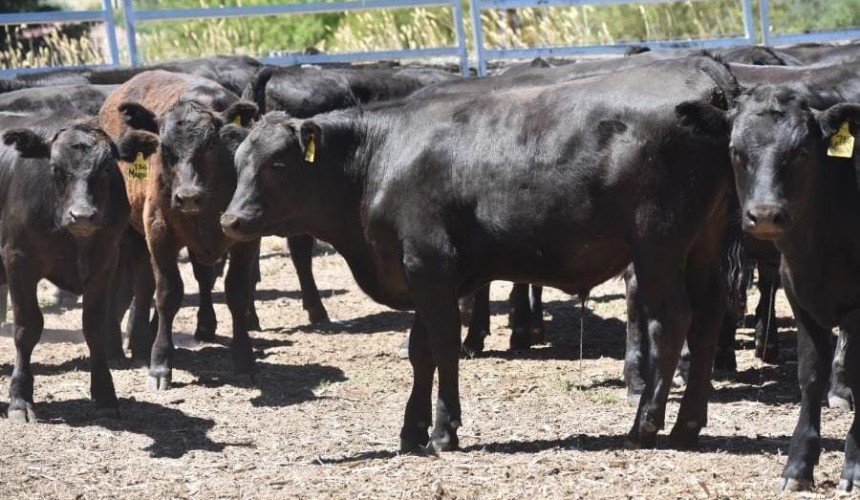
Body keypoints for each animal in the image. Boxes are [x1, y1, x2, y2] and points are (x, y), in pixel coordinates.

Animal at [0, 111, 156, 422]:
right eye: (56, 168)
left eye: (106, 168)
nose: (82, 216)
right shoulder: (17, 260)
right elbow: (26, 327)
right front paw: (20, 399)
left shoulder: (105, 264)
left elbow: (96, 327)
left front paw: (106, 395)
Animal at [99, 70, 258, 389]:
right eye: (163, 147)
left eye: (211, 144)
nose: (188, 197)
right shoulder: (159, 230)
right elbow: (168, 294)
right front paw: (160, 364)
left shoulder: (244, 237)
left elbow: (235, 291)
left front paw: (244, 359)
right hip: (124, 234)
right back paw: (116, 349)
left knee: (149, 280)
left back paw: (143, 341)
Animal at [220, 55, 742, 452]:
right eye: (239, 161)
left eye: (278, 163)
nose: (231, 221)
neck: (382, 157)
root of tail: (700, 71)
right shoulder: (420, 273)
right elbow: (421, 350)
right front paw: (411, 430)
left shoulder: (430, 264)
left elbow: (444, 345)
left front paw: (443, 430)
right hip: (703, 246)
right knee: (708, 318)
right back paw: (688, 425)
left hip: (658, 245)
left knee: (672, 321)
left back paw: (645, 425)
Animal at [674, 85, 860, 492]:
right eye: (735, 151)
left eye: (803, 152)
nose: (764, 215)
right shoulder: (800, 295)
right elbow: (810, 374)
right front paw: (798, 466)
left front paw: (853, 466)